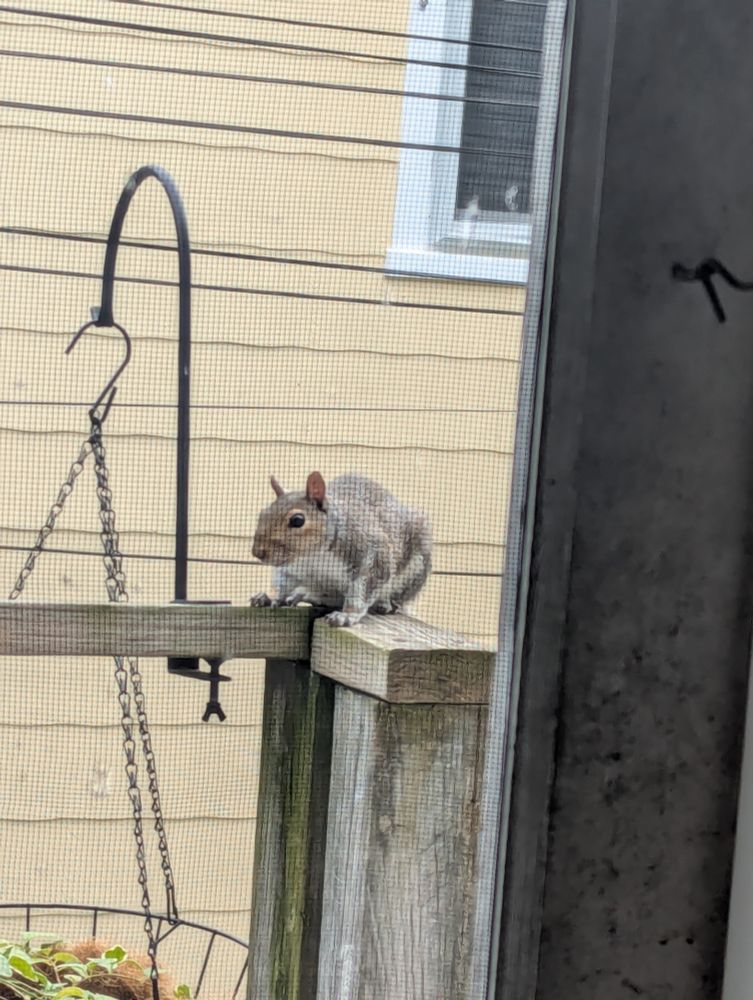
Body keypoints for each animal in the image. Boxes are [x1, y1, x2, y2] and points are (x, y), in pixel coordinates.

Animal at [250, 471, 432, 627]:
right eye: (262, 513)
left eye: (297, 520)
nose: (257, 552)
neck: (312, 556)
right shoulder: (290, 570)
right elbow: (284, 583)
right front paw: (272, 597)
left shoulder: (372, 552)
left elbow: (362, 588)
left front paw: (348, 614)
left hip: (416, 564)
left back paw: (385, 604)